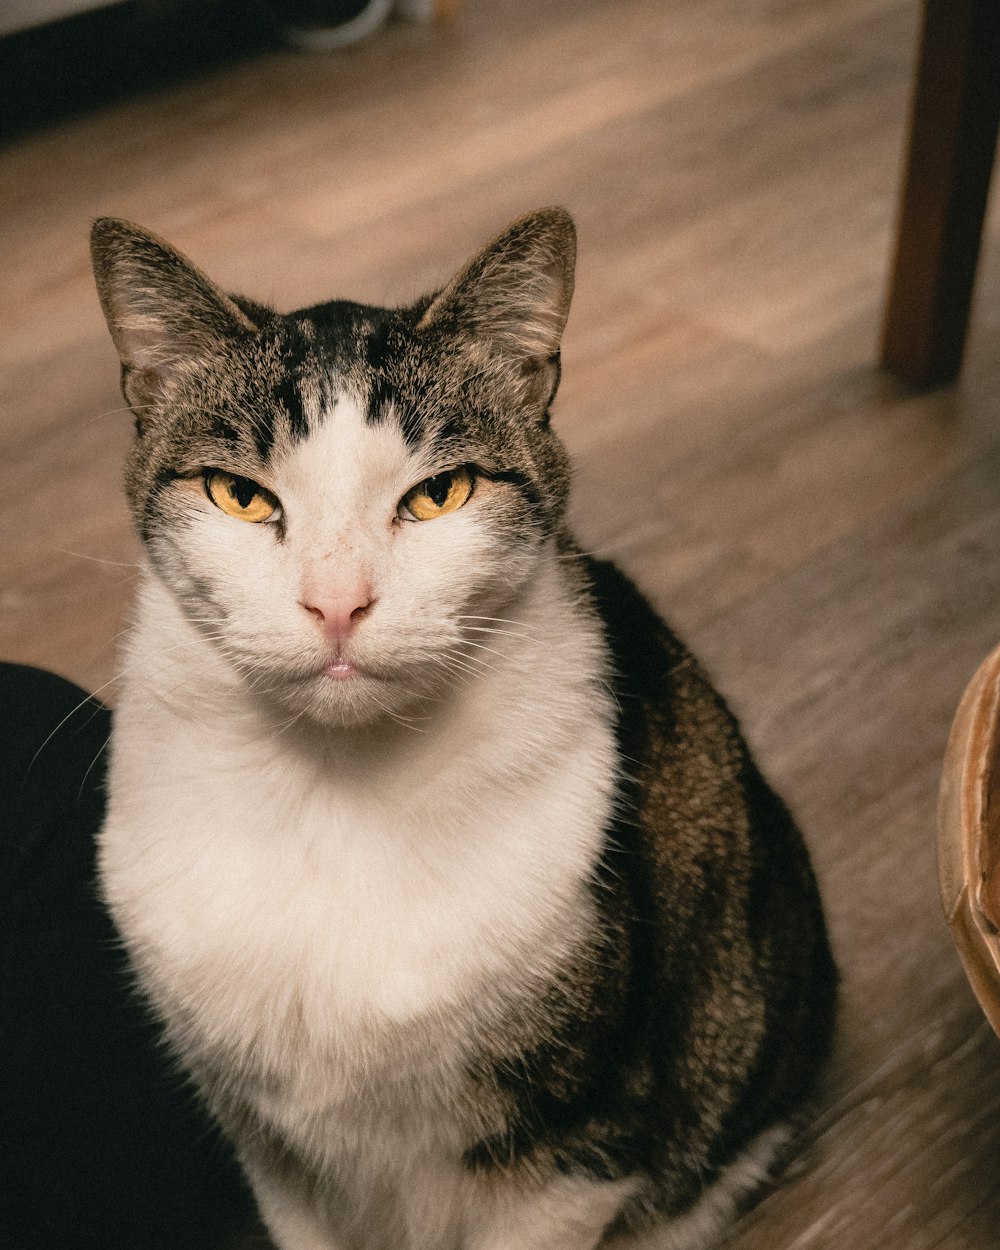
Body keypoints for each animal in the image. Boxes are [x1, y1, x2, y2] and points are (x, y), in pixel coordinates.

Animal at [91, 207, 835, 1250]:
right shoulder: (275, 1158)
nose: (337, 603)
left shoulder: (582, 1144)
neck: (335, 791)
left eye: (440, 494)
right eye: (239, 495)